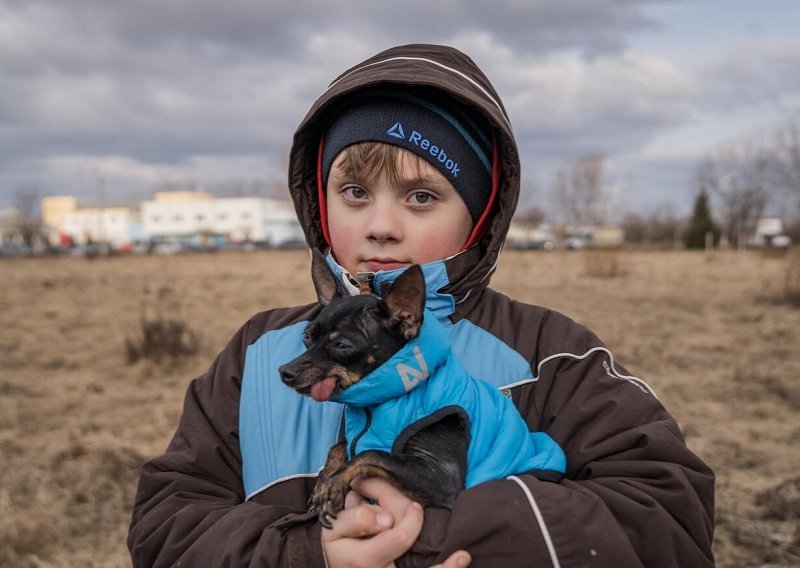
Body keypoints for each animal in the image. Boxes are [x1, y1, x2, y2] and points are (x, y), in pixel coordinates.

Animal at [282, 253, 468, 528]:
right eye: (307, 337)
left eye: (342, 345)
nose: (284, 371)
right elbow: (340, 445)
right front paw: (324, 484)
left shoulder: (443, 477)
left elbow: (370, 454)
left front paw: (334, 482)